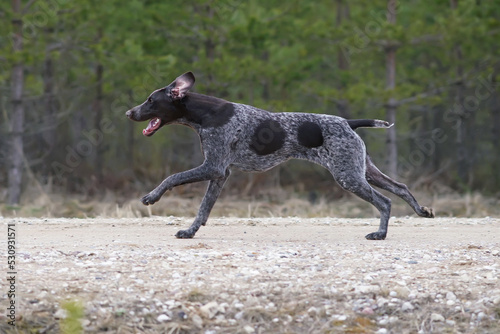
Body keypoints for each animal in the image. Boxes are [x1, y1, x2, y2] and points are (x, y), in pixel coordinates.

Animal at [126, 72, 434, 240]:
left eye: (151, 100)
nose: (129, 112)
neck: (206, 113)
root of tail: (348, 122)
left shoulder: (212, 167)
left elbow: (172, 177)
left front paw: (152, 197)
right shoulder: (221, 173)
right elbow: (204, 209)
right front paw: (190, 231)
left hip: (348, 176)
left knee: (384, 202)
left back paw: (380, 234)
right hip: (363, 170)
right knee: (401, 188)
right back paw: (422, 210)